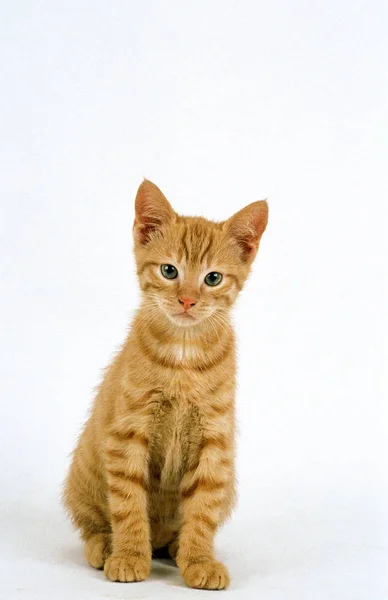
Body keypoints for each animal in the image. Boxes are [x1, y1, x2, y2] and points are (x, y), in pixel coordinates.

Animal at [63, 179, 268, 592]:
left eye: (212, 278)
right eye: (170, 271)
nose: (187, 300)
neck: (183, 357)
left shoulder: (215, 442)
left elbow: (202, 510)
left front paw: (199, 559)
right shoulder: (127, 433)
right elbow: (128, 503)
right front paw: (129, 555)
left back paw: (176, 548)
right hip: (85, 473)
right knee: (91, 523)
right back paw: (105, 545)